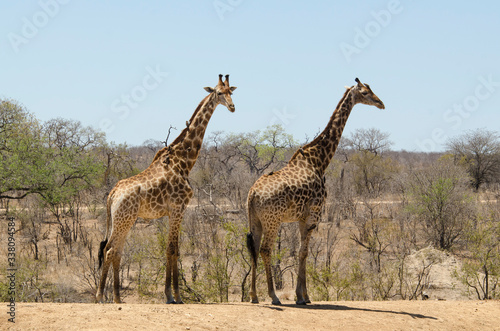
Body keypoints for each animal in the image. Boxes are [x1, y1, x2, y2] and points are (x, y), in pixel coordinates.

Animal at [97, 74, 238, 304]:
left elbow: (174, 249)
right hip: (123, 220)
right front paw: (175, 296)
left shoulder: (174, 211)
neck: (184, 162)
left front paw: (170, 293)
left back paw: (117, 298)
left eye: (231, 92)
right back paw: (100, 296)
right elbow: (172, 249)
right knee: (110, 251)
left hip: (124, 220)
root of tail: (112, 194)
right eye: (218, 92)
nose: (233, 107)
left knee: (115, 251)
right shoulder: (178, 208)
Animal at [248, 78, 384, 306]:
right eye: (365, 93)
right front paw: (301, 297)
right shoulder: (314, 214)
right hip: (272, 220)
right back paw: (273, 296)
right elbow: (304, 252)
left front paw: (304, 295)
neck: (319, 160)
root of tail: (252, 195)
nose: (380, 103)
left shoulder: (303, 217)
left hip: (255, 220)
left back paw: (254, 296)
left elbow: (302, 252)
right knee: (266, 249)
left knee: (253, 249)